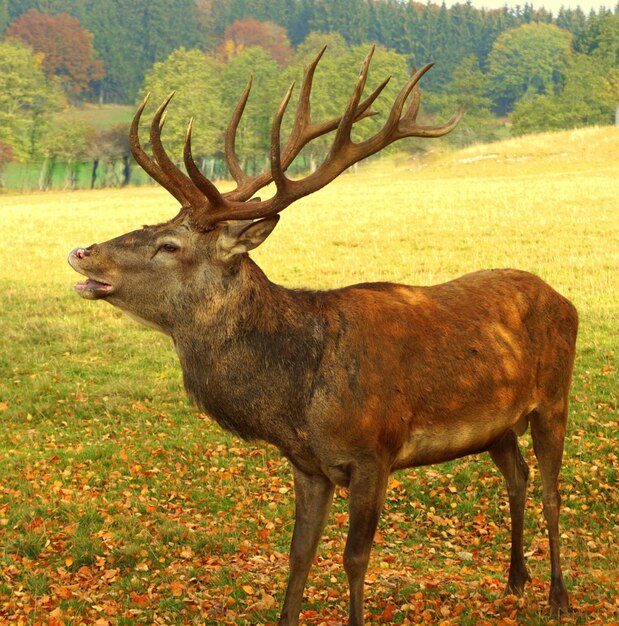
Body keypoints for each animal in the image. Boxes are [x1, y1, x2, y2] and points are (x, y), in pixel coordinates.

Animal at [70, 46, 580, 620]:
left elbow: (354, 560)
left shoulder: (374, 453)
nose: (83, 251)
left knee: (552, 490)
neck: (298, 399)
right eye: (150, 225)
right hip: (497, 426)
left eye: (170, 245)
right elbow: (299, 557)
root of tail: (566, 300)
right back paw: (514, 580)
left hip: (554, 396)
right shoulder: (307, 465)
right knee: (517, 476)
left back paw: (558, 595)